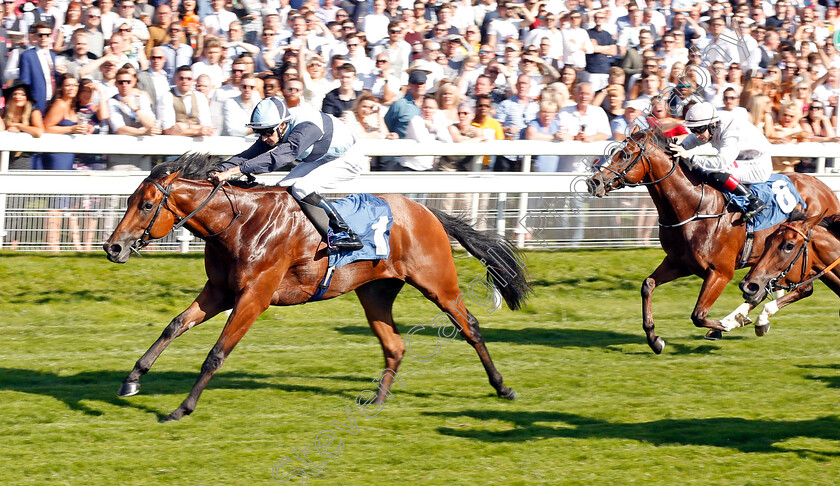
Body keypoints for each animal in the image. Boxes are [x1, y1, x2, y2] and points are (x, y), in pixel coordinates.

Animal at [101, 154, 528, 420]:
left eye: (146, 205)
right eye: (129, 200)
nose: (112, 247)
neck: (240, 222)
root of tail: (426, 210)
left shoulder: (253, 297)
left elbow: (215, 355)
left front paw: (181, 408)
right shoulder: (218, 292)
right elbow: (173, 326)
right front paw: (131, 380)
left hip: (439, 284)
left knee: (470, 328)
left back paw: (503, 388)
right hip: (374, 293)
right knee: (395, 346)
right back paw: (377, 401)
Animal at [584, 127, 840, 354]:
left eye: (624, 155)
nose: (593, 182)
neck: (695, 207)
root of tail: (825, 188)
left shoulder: (720, 272)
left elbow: (698, 315)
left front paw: (724, 325)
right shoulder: (679, 263)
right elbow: (648, 285)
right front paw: (654, 339)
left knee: (803, 288)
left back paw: (750, 318)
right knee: (778, 288)